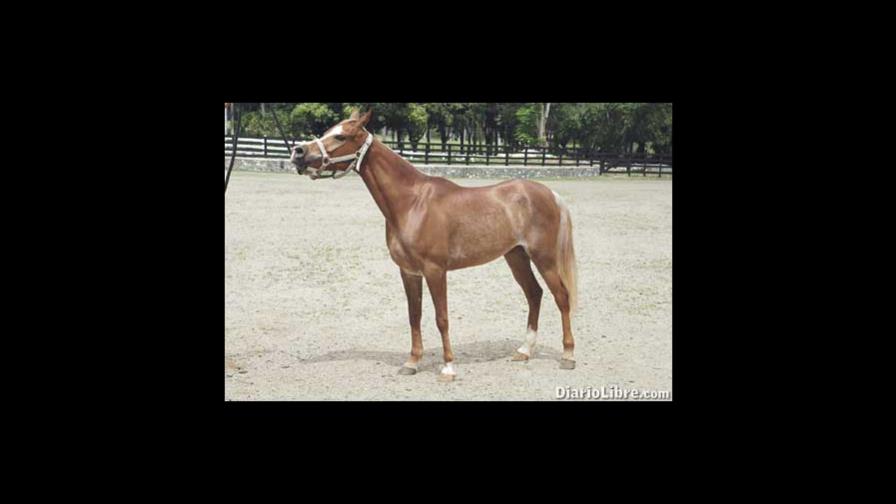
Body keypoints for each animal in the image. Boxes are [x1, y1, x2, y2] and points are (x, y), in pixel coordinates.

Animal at [290, 109, 578, 382]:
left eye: (341, 137)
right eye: (327, 131)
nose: (298, 152)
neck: (412, 204)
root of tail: (549, 193)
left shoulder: (435, 270)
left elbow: (441, 318)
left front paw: (448, 367)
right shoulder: (408, 272)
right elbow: (414, 316)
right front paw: (412, 363)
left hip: (544, 258)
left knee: (561, 297)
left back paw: (568, 356)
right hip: (516, 256)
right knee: (534, 294)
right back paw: (524, 351)